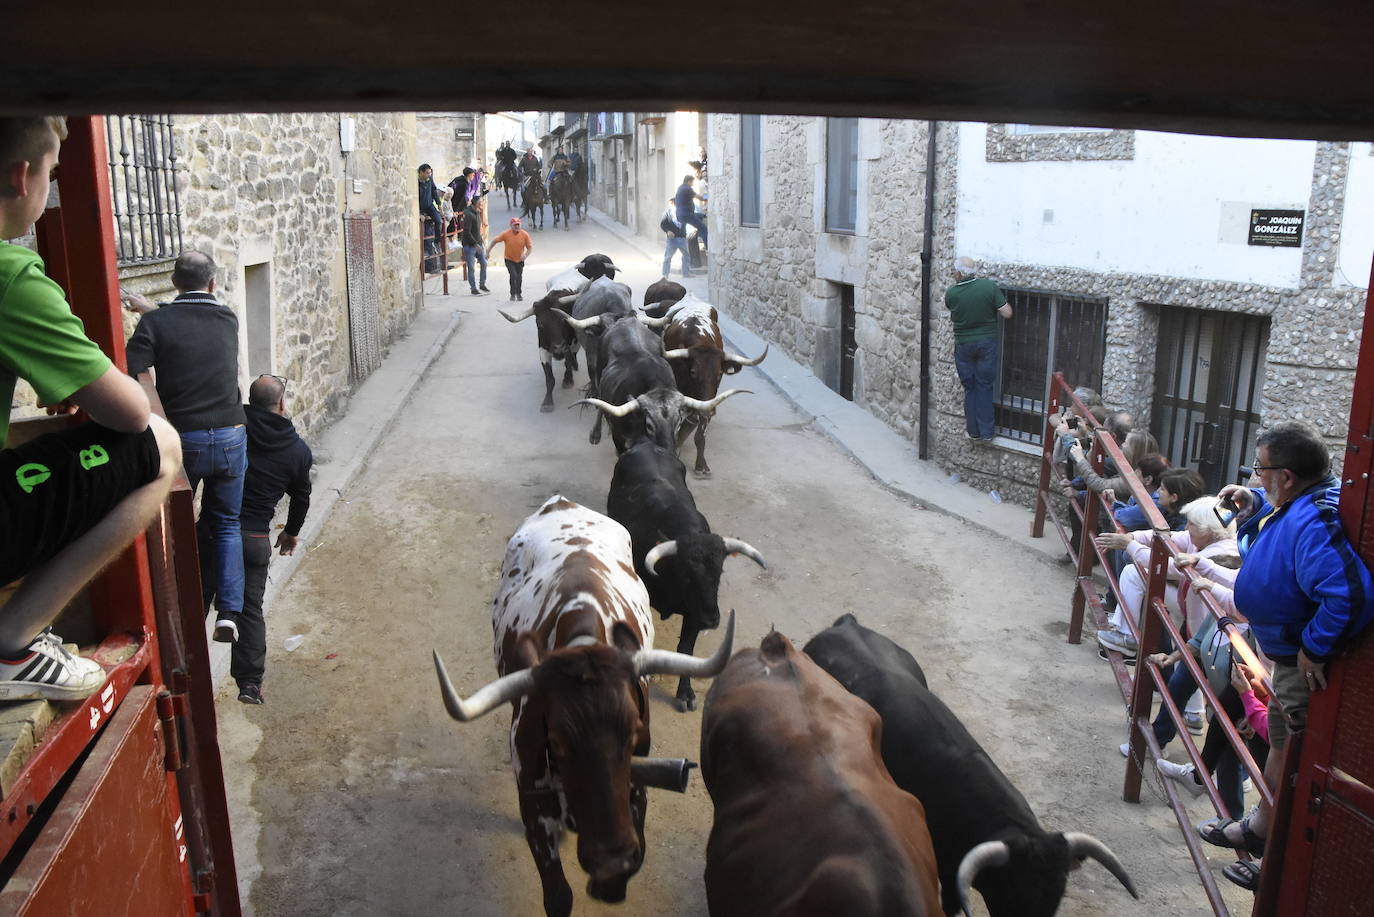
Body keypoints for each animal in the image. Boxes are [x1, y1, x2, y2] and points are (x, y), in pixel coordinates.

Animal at [434, 494, 736, 917]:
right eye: (556, 742)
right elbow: (558, 896)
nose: (610, 859)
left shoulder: (636, 789)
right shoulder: (533, 801)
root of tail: (562, 502)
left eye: (633, 734)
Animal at [662, 298, 769, 478]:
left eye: (720, 373)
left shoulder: (710, 400)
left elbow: (700, 435)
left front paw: (701, 466)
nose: (709, 411)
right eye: (693, 372)